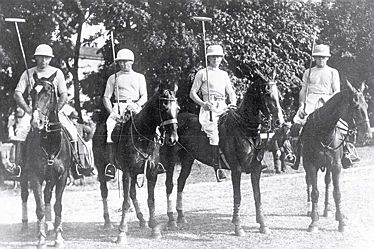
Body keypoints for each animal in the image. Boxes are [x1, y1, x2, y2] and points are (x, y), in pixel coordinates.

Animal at [19, 71, 74, 248]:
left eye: (49, 92)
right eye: (31, 93)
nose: (37, 122)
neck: (49, 143)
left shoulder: (62, 177)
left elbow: (57, 206)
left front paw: (58, 237)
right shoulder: (35, 176)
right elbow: (40, 208)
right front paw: (41, 238)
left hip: (51, 179)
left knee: (48, 196)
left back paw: (50, 225)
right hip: (24, 176)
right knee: (24, 195)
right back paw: (26, 226)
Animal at [93, 84, 180, 245]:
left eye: (177, 108)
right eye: (164, 107)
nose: (173, 138)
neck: (142, 136)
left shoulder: (151, 173)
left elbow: (150, 200)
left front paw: (154, 228)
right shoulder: (127, 173)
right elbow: (125, 202)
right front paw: (121, 233)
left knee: (133, 193)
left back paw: (142, 220)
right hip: (102, 169)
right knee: (104, 192)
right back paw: (108, 222)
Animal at [159, 69, 284, 236]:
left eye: (279, 94)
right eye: (267, 94)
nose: (279, 121)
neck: (245, 129)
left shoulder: (256, 169)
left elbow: (257, 196)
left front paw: (263, 225)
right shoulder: (236, 169)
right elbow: (237, 196)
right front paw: (238, 226)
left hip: (188, 160)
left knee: (181, 182)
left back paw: (181, 216)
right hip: (171, 161)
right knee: (169, 185)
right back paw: (171, 220)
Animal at [300, 80, 372, 232]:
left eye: (367, 106)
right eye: (356, 106)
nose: (368, 135)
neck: (323, 131)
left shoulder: (336, 165)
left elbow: (337, 192)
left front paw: (341, 221)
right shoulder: (311, 165)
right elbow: (315, 192)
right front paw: (314, 221)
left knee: (328, 183)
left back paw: (328, 210)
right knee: (309, 183)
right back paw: (310, 210)